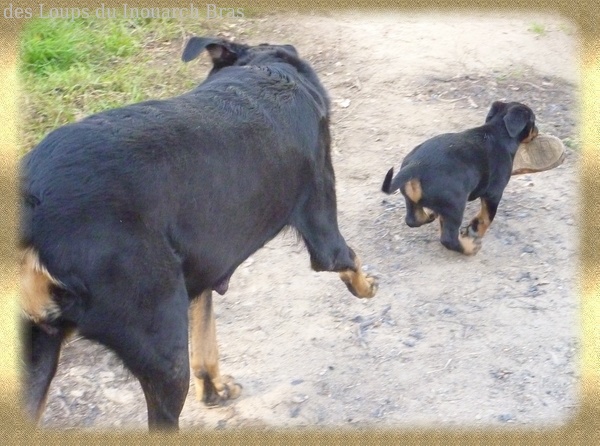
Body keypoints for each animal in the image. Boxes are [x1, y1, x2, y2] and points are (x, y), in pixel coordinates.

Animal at [20, 36, 378, 430]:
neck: (266, 70)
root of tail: (31, 210)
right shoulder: (323, 229)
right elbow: (349, 259)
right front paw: (368, 286)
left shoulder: (201, 271)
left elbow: (205, 339)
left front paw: (214, 390)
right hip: (162, 350)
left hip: (39, 353)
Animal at [382, 101, 538, 255]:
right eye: (533, 121)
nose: (538, 131)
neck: (498, 132)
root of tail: (415, 166)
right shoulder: (494, 193)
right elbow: (486, 217)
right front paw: (475, 231)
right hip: (455, 205)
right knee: (448, 238)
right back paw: (470, 247)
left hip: (412, 198)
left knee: (413, 219)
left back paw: (431, 215)